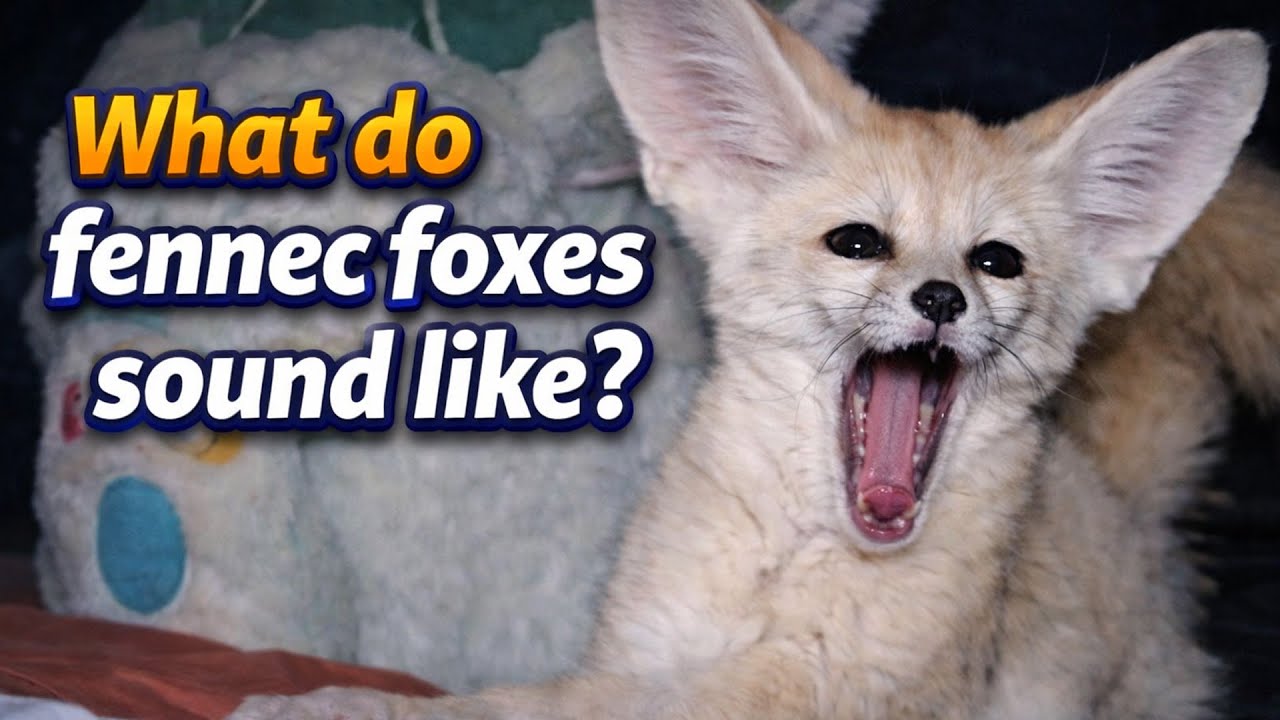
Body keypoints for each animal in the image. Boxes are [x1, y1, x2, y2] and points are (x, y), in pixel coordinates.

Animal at [232, 0, 1280, 717]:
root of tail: (1123, 506)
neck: (788, 564)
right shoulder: (643, 650)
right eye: (858, 243)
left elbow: (524, 708)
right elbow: (549, 695)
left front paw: (345, 705)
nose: (942, 299)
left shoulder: (801, 691)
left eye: (997, 261)